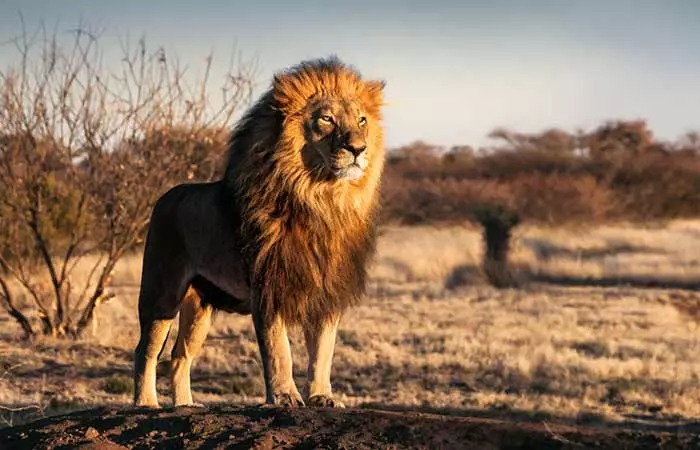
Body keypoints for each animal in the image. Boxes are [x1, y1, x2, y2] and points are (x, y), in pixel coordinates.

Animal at [133, 56, 386, 408]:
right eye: (326, 119)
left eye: (362, 120)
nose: (358, 148)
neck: (322, 200)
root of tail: (164, 196)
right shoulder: (268, 286)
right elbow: (279, 350)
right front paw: (284, 396)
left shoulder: (327, 291)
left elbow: (323, 351)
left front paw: (322, 396)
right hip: (162, 293)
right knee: (146, 351)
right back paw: (146, 403)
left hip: (199, 306)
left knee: (179, 356)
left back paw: (185, 405)